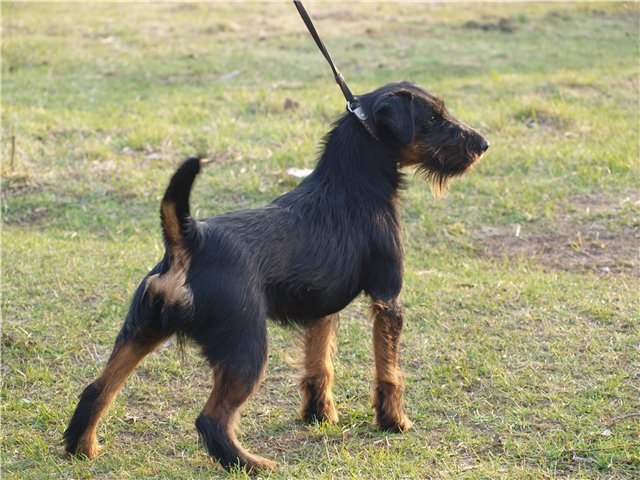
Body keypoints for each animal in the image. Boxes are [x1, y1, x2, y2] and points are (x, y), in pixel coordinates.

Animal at [65, 80, 488, 470]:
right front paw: (393, 421)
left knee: (97, 389)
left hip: (142, 329)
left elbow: (319, 366)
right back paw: (250, 464)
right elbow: (389, 371)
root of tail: (190, 239)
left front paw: (319, 416)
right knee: (211, 420)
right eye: (434, 118)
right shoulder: (388, 300)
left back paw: (82, 448)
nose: (482, 144)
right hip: (246, 350)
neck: (350, 185)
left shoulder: (320, 309)